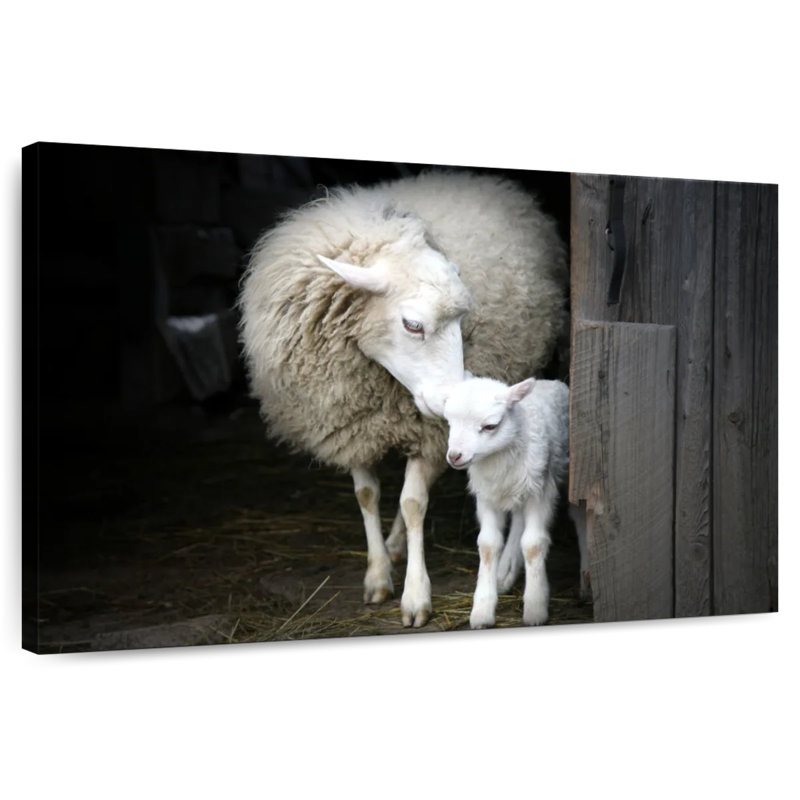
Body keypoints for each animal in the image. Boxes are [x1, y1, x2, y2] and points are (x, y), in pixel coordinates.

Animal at [239, 169, 568, 628]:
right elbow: (367, 496)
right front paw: (378, 575)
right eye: (413, 325)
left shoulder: (429, 436)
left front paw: (415, 595)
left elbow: (413, 503)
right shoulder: (349, 424)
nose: (449, 403)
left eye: (464, 320)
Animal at [436, 375, 586, 628]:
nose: (455, 456)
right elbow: (488, 545)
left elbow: (533, 543)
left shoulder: (540, 489)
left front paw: (535, 607)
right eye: (449, 422)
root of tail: (551, 381)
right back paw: (505, 572)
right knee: (518, 520)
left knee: (579, 515)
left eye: (490, 426)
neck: (498, 459)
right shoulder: (486, 495)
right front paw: (482, 611)